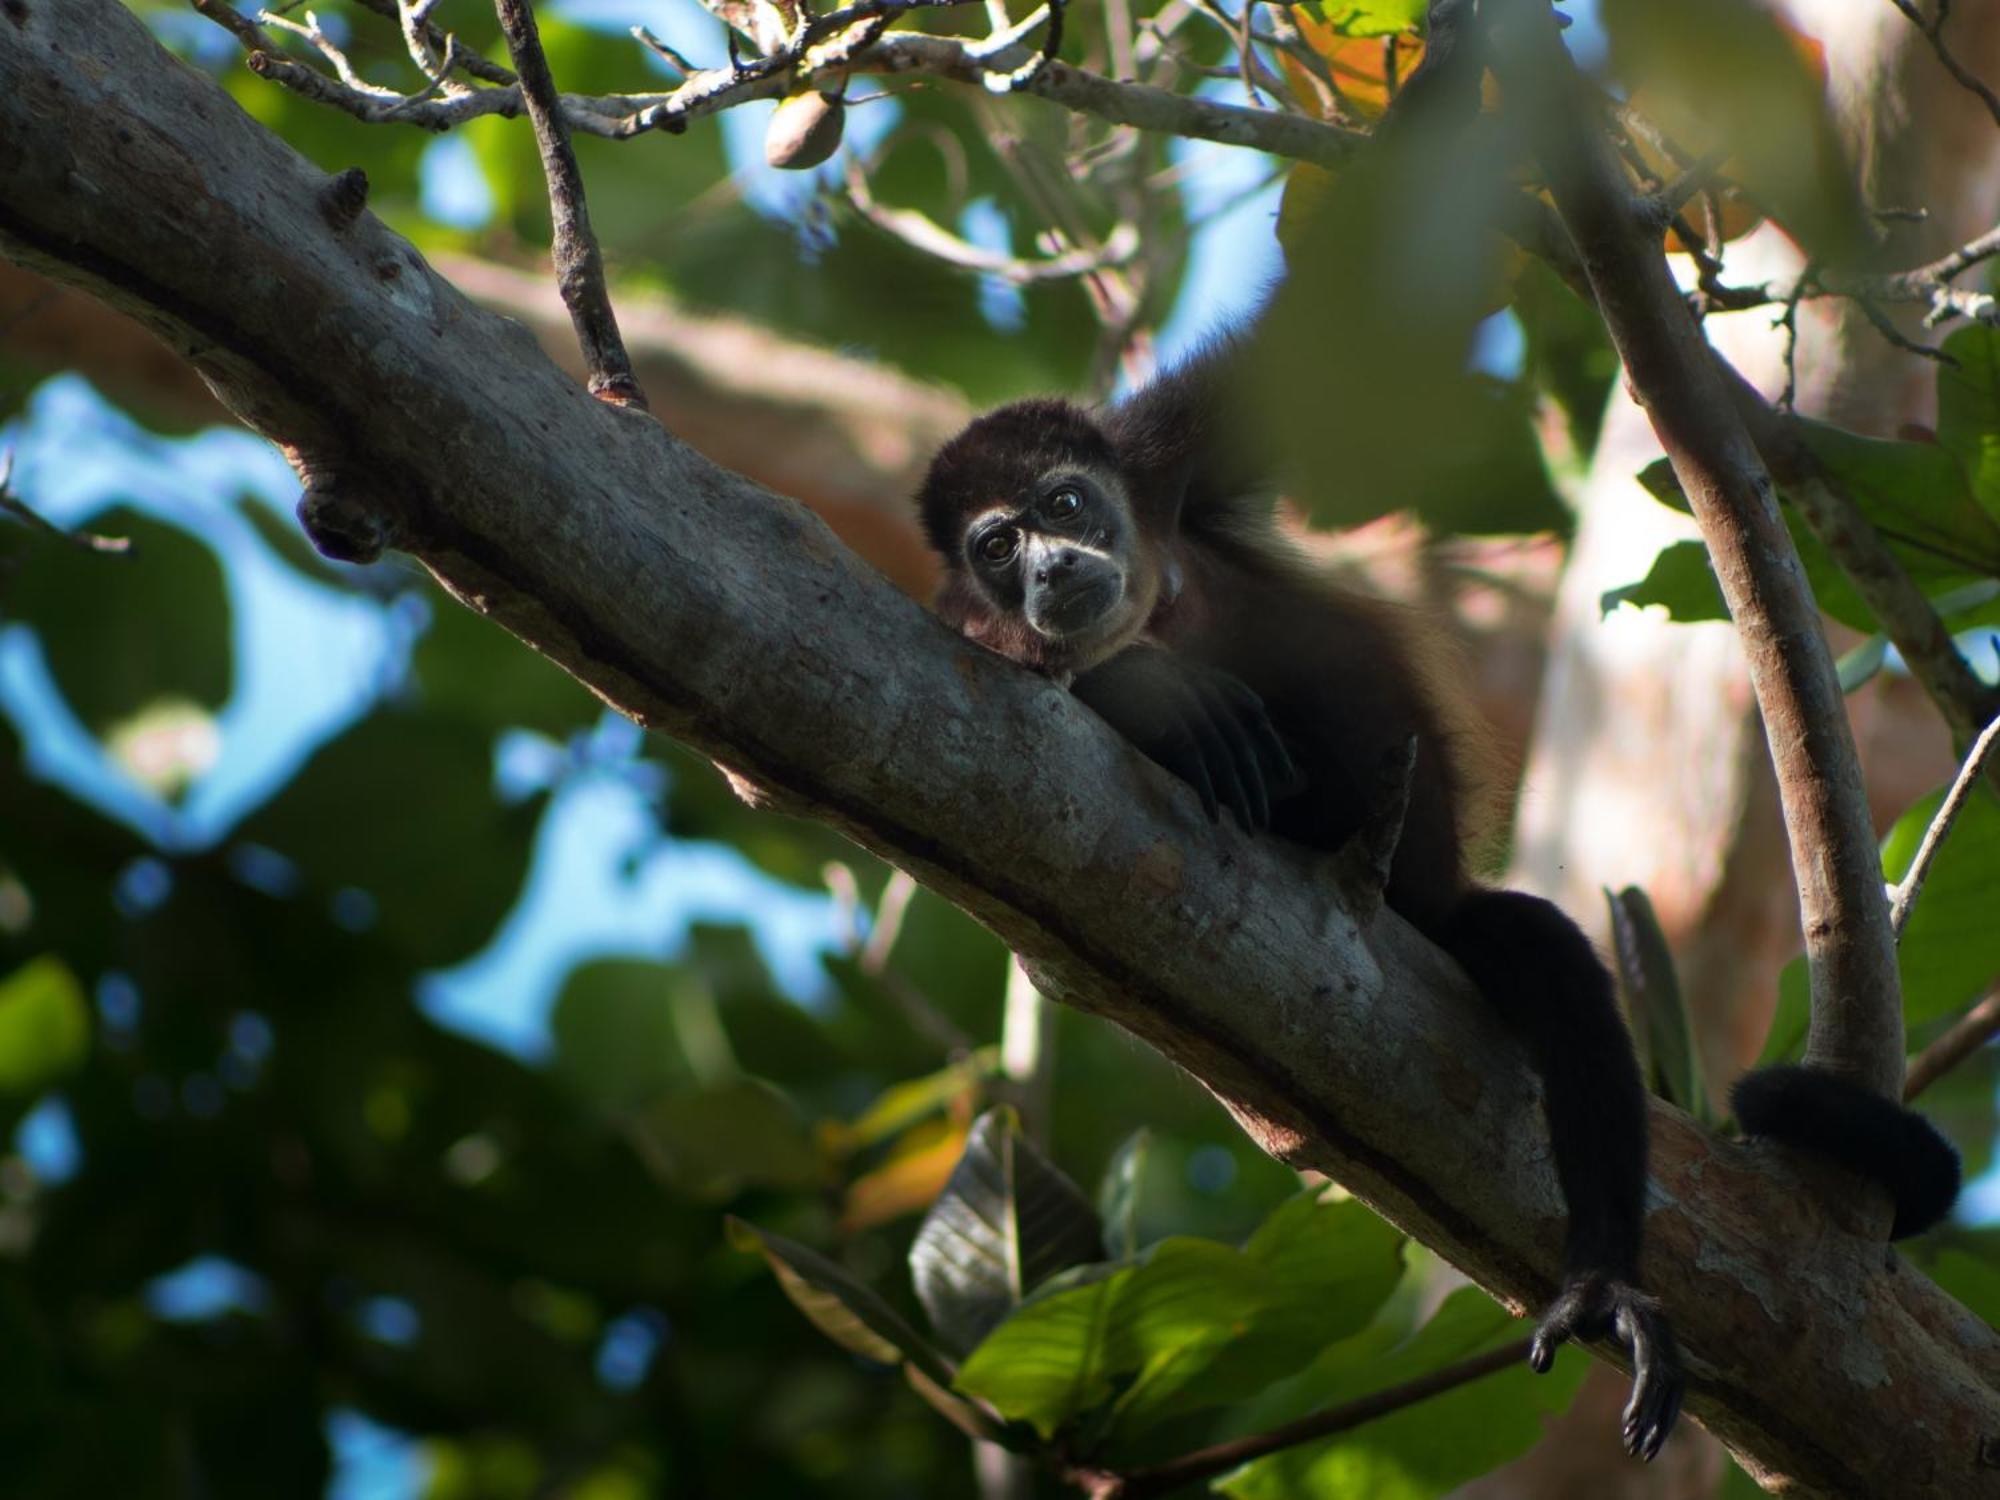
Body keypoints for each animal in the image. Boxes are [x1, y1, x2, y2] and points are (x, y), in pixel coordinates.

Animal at [920, 332, 1968, 1472]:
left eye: (1063, 504)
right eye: (995, 548)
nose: (1051, 566)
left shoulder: (1167, 453)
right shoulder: (973, 629)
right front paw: (1158, 695)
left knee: (1547, 957)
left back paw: (1601, 1289)